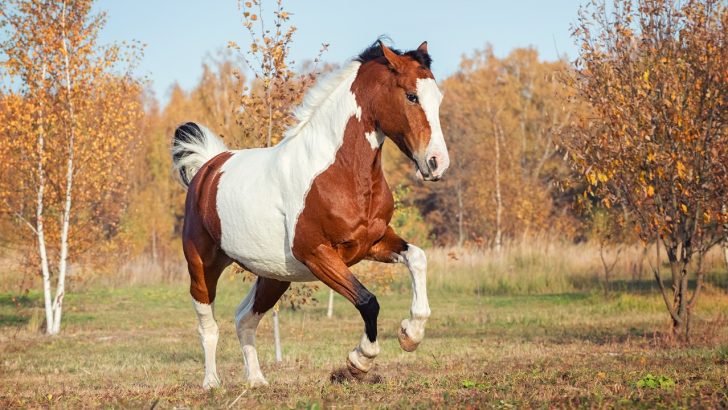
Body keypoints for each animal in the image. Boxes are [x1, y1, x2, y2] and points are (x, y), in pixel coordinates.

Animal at [172, 40, 450, 389]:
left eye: (437, 97)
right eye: (411, 96)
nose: (437, 163)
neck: (337, 171)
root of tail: (208, 167)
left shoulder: (372, 243)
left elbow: (417, 258)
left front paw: (410, 334)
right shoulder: (317, 254)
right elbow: (368, 301)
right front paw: (360, 361)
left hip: (274, 276)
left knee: (244, 319)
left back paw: (257, 380)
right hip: (202, 265)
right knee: (208, 324)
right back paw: (211, 383)